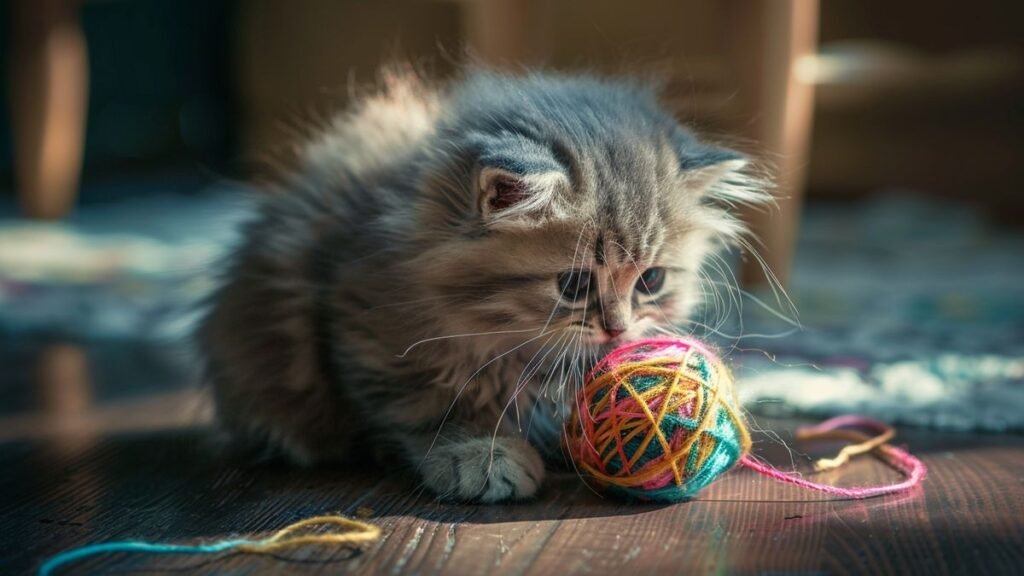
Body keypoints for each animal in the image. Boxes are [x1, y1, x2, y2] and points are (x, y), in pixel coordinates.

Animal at [201, 67, 770, 500]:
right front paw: (481, 453)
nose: (618, 329)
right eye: (573, 284)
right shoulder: (369, 331)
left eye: (651, 279)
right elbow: (433, 407)